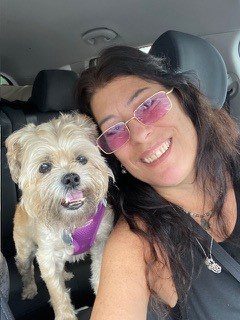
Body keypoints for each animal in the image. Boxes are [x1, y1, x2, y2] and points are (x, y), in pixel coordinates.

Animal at [5, 114, 114, 320]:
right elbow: (57, 292)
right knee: (27, 270)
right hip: (24, 250)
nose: (71, 178)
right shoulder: (46, 256)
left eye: (81, 159)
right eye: (44, 167)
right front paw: (65, 315)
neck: (73, 222)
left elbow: (99, 272)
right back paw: (30, 289)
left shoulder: (101, 243)